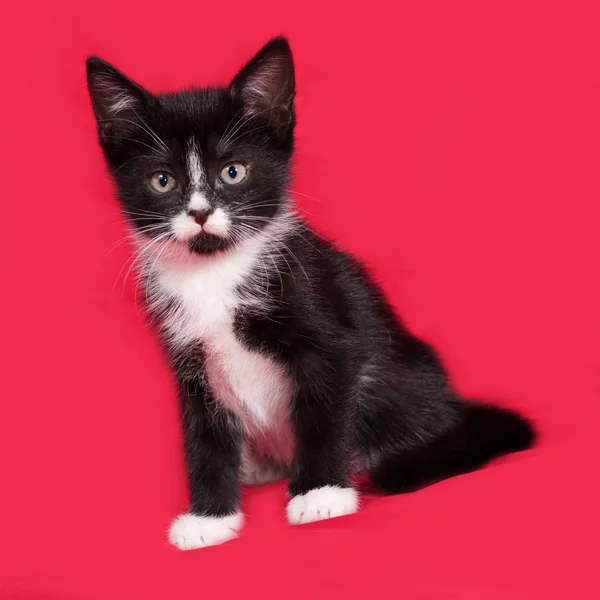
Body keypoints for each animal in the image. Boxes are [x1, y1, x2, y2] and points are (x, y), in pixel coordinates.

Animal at [84, 37, 536, 552]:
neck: (215, 273)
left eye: (233, 172)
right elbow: (205, 436)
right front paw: (210, 518)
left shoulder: (328, 326)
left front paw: (320, 493)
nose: (199, 213)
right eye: (163, 180)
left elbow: (324, 409)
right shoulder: (191, 360)